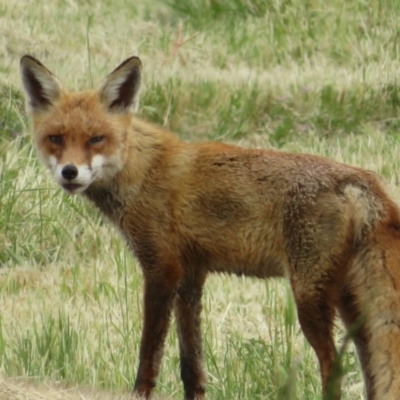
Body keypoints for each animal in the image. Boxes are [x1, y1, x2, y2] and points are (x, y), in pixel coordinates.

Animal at [20, 55, 400, 400]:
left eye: (96, 139)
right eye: (56, 138)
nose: (69, 172)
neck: (142, 170)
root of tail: (361, 179)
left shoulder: (161, 269)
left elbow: (149, 353)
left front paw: (140, 393)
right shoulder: (191, 275)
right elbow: (191, 365)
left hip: (310, 296)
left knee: (334, 366)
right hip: (352, 304)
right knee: (369, 369)